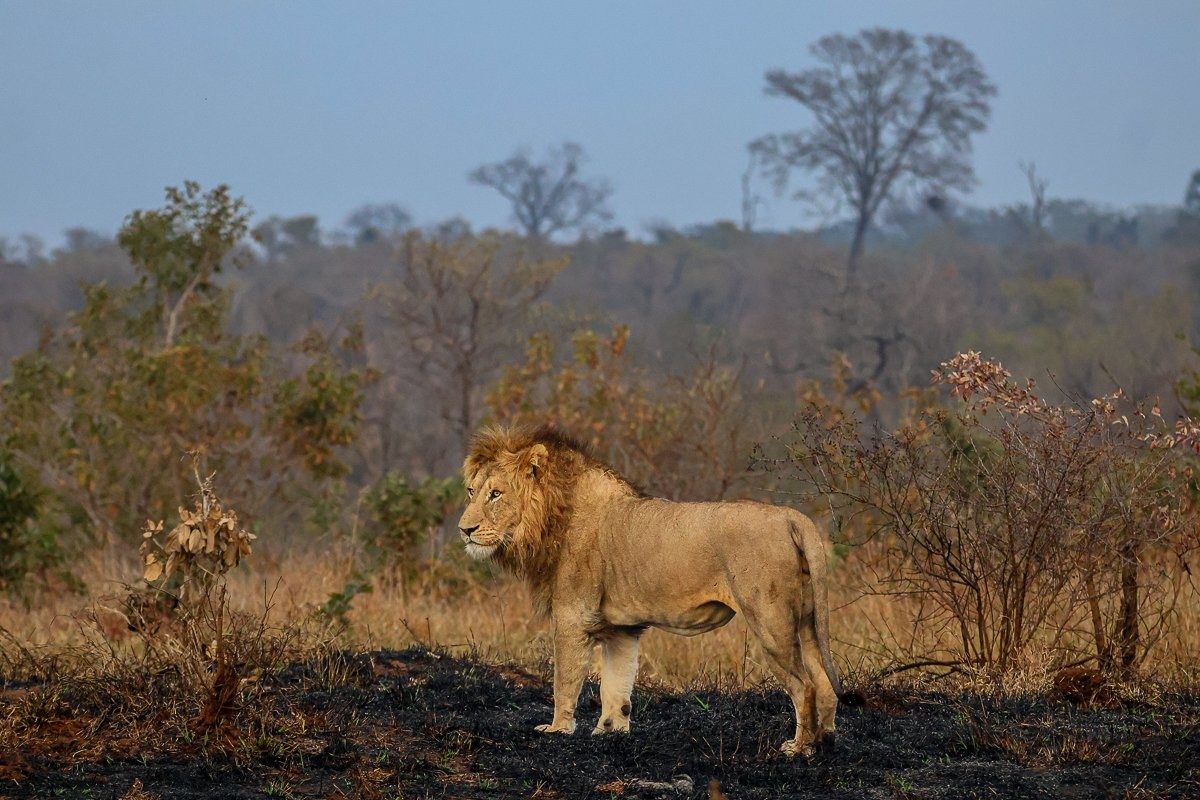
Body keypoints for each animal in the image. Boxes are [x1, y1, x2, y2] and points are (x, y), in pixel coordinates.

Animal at [457, 424, 839, 757]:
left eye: (496, 494)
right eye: (471, 491)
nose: (465, 530)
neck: (551, 518)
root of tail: (792, 517)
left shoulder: (572, 616)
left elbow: (564, 680)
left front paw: (557, 730)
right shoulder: (621, 629)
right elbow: (616, 685)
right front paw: (610, 731)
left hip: (769, 620)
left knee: (804, 685)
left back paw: (799, 749)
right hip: (805, 619)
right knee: (823, 682)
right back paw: (825, 742)